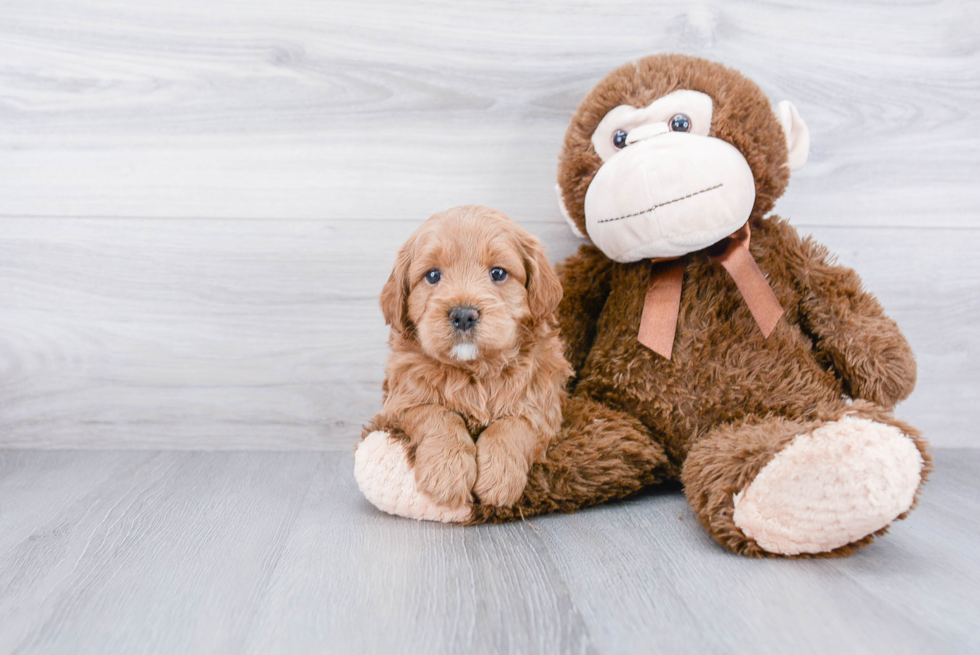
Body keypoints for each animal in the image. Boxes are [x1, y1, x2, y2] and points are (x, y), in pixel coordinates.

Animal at [364, 205, 572, 508]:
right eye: (433, 276)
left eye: (498, 273)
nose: (463, 315)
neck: (475, 370)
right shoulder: (400, 402)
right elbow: (437, 414)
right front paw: (446, 473)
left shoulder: (541, 404)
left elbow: (512, 426)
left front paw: (499, 478)